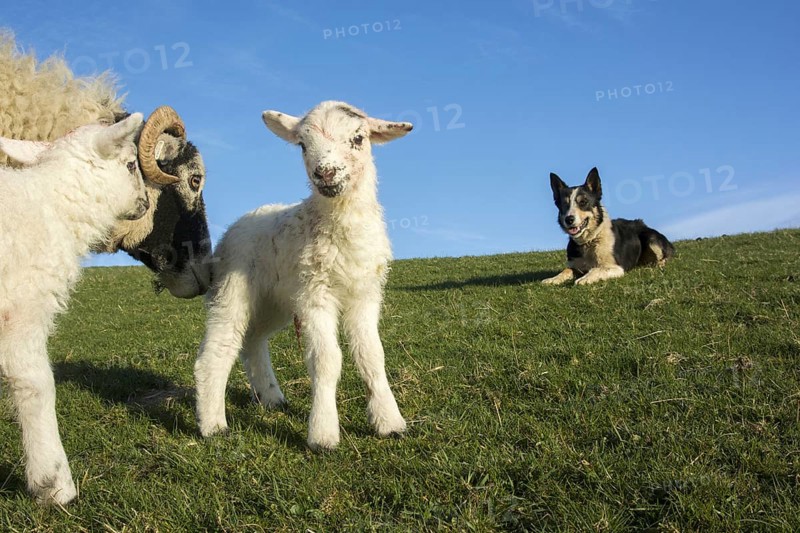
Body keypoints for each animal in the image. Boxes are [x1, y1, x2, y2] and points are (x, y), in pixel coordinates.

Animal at [0, 113, 147, 505]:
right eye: (130, 164)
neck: (54, 204)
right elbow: (37, 385)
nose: (144, 203)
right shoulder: (23, 308)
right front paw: (54, 483)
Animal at [194, 101, 412, 450]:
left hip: (276, 300)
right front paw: (323, 434)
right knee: (221, 346)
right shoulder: (314, 294)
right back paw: (213, 425)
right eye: (302, 145)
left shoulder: (365, 294)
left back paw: (270, 397)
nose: (325, 172)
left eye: (358, 138)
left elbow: (372, 355)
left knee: (253, 340)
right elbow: (326, 360)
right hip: (232, 285)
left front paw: (390, 422)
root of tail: (245, 218)